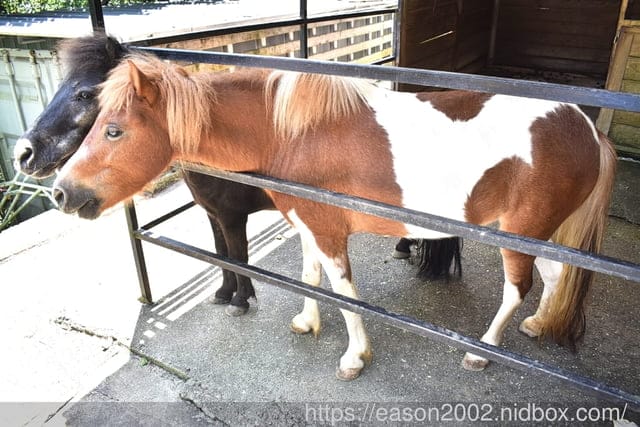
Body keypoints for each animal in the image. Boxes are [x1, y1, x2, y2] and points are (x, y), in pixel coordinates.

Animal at [13, 34, 462, 316]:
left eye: (86, 93)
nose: (23, 154)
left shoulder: (233, 217)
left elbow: (239, 256)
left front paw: (241, 300)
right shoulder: (214, 215)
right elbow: (220, 256)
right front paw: (224, 292)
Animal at [52, 53, 616, 380]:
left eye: (114, 130)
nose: (60, 192)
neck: (295, 130)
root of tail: (587, 128)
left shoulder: (327, 231)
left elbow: (344, 293)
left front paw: (353, 357)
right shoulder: (306, 225)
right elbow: (310, 278)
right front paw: (307, 322)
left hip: (518, 234)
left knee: (516, 289)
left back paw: (483, 350)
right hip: (542, 235)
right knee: (555, 275)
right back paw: (539, 325)